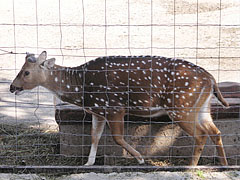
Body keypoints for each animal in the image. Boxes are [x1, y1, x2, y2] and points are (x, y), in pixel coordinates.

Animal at [10, 51, 229, 166]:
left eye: (26, 72)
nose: (12, 87)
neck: (81, 87)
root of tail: (211, 79)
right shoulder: (98, 111)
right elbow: (95, 137)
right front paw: (88, 163)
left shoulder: (115, 107)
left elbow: (117, 137)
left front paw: (140, 159)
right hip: (201, 107)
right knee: (215, 131)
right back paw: (224, 164)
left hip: (181, 106)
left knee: (201, 134)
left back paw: (190, 166)